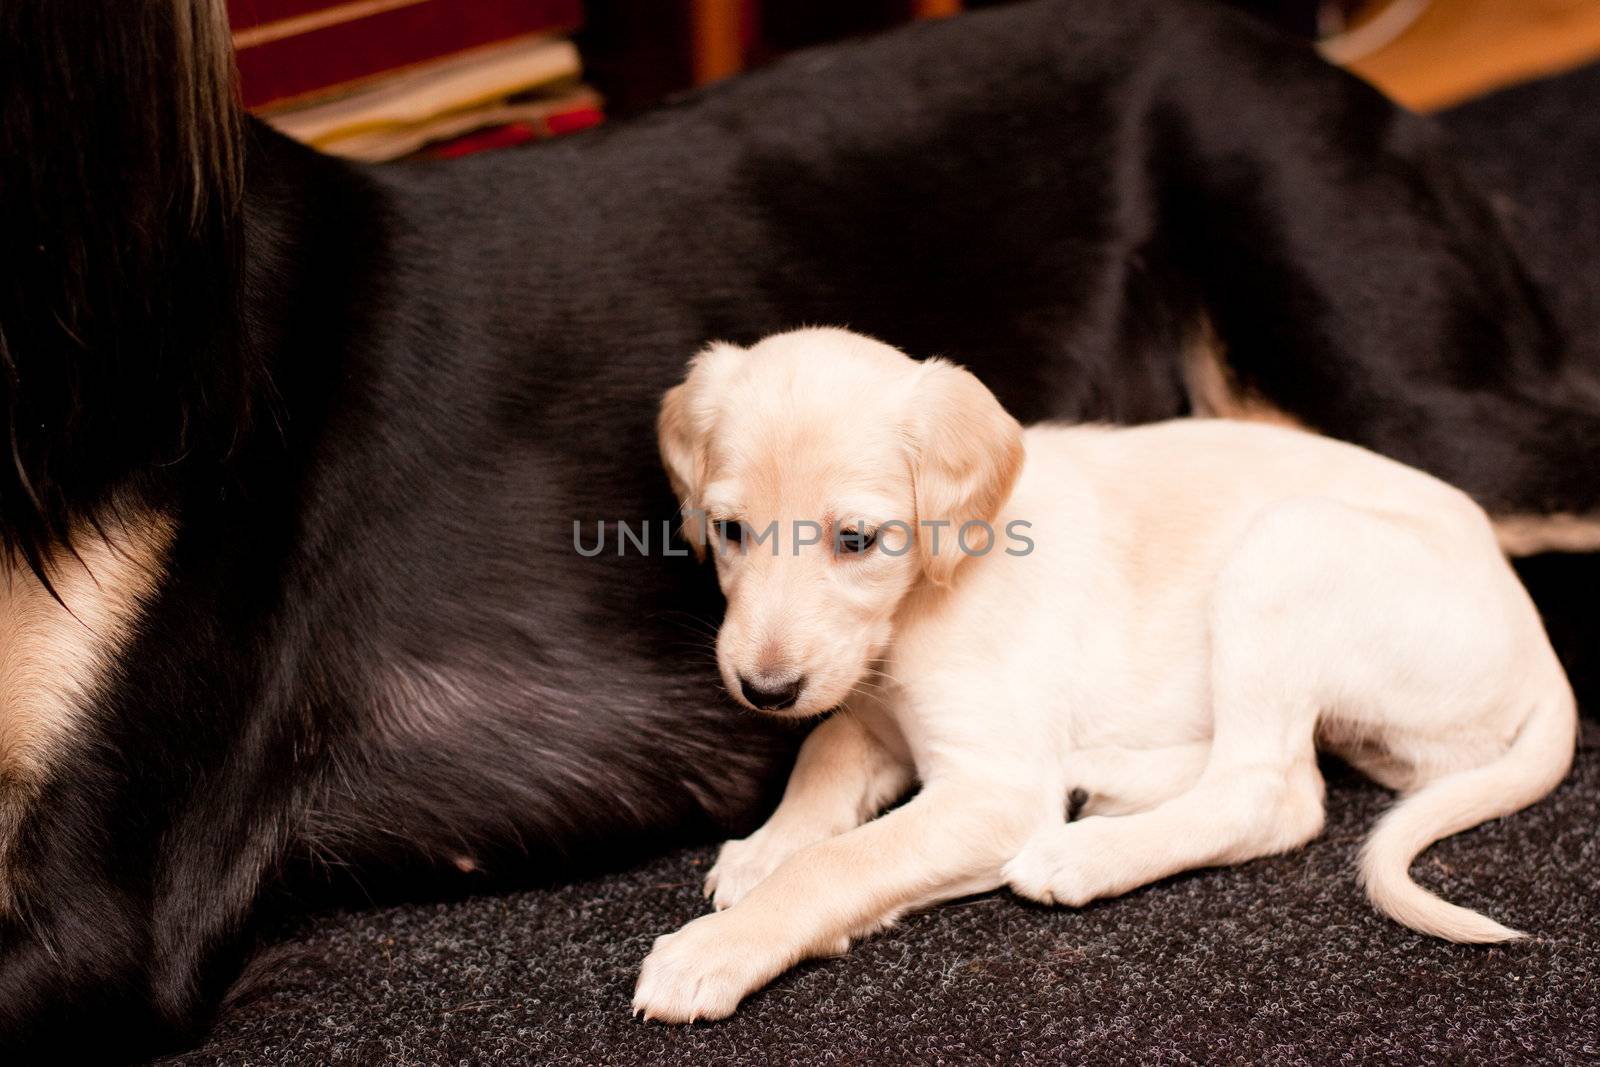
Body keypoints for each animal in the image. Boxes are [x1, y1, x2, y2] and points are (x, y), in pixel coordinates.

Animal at [633, 327, 1574, 1023]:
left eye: (857, 540)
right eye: (728, 529)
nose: (764, 691)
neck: (919, 605)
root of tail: (1535, 632)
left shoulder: (997, 788)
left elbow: (843, 861)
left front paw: (720, 944)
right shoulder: (873, 711)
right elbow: (823, 751)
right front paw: (767, 847)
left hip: (1288, 546)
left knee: (1274, 791)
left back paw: (1086, 851)